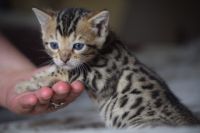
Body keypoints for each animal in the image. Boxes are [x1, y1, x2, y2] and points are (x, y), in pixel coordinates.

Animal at [16, 7, 200, 128]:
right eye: (54, 45)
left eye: (78, 46)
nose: (64, 58)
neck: (109, 43)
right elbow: (57, 68)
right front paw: (34, 78)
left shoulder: (102, 75)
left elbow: (68, 70)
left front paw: (25, 85)